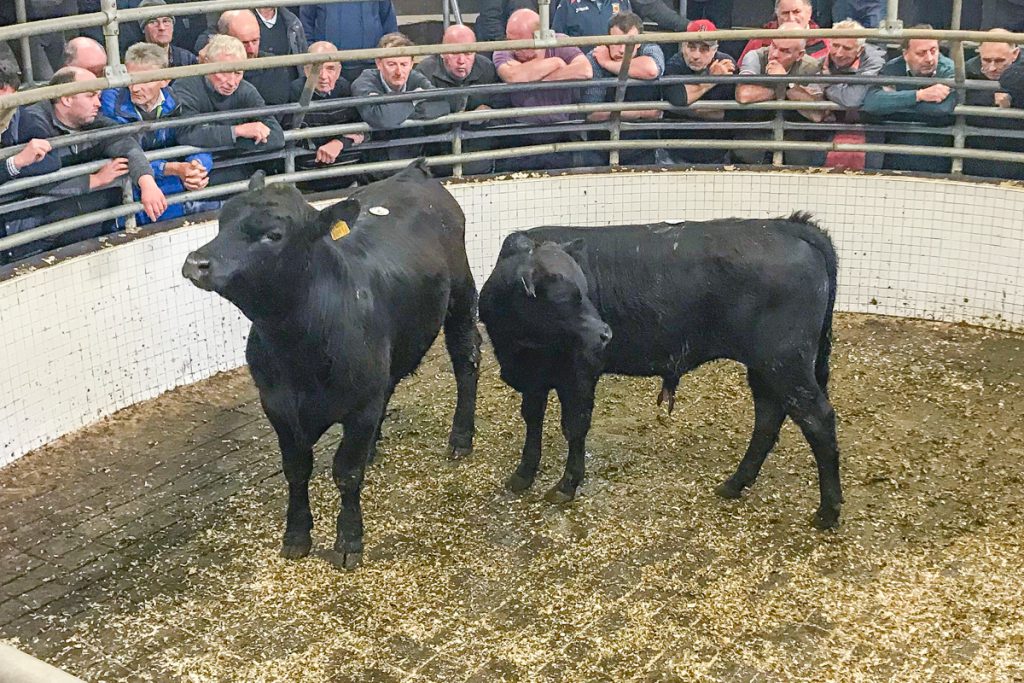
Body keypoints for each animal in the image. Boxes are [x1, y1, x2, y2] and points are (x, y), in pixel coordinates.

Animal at [182, 159, 480, 569]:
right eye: (222, 220)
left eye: (273, 235)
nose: (196, 262)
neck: (298, 347)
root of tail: (411, 172)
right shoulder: (278, 406)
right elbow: (296, 470)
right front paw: (296, 536)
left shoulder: (360, 407)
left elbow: (347, 472)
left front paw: (349, 540)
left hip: (462, 294)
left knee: (466, 360)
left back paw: (460, 437)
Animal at [479, 213, 842, 530]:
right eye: (560, 298)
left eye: (582, 290)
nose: (605, 333)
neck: (520, 348)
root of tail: (788, 225)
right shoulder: (535, 378)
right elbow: (532, 420)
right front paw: (523, 474)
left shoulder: (579, 371)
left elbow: (575, 427)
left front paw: (567, 485)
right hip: (766, 368)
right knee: (768, 418)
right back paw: (735, 483)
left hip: (786, 363)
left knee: (817, 420)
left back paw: (828, 511)